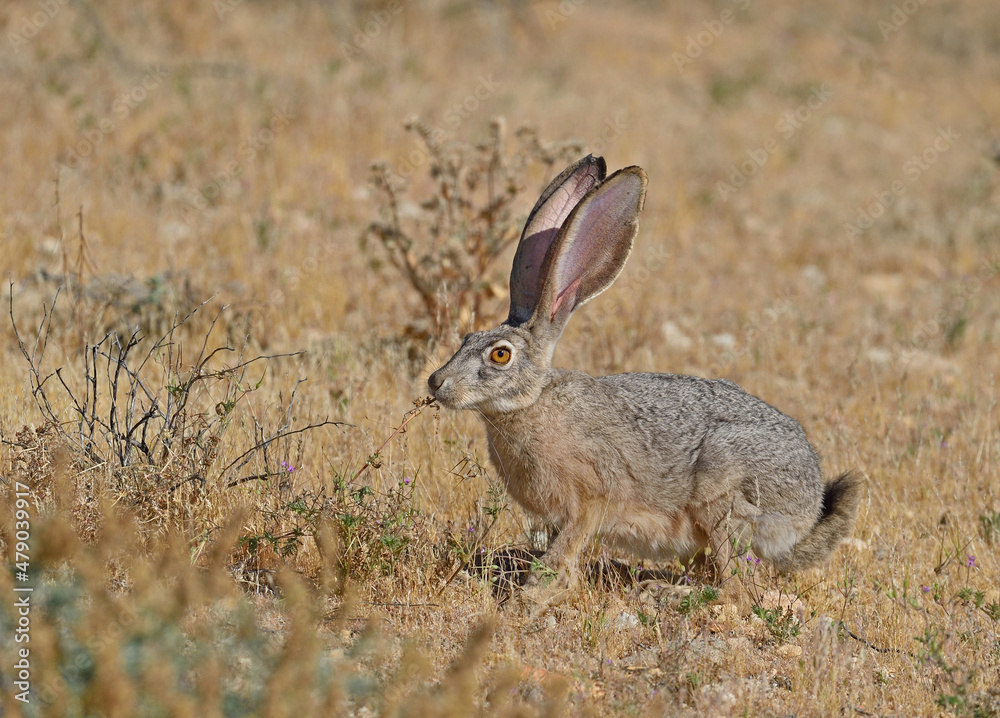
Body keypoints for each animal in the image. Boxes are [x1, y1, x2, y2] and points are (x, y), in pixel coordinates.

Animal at [428, 155, 862, 599]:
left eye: (500, 355)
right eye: (466, 338)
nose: (436, 383)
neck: (531, 402)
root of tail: (807, 510)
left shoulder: (591, 498)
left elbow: (565, 551)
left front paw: (533, 592)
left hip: (723, 499)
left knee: (735, 588)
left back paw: (669, 594)